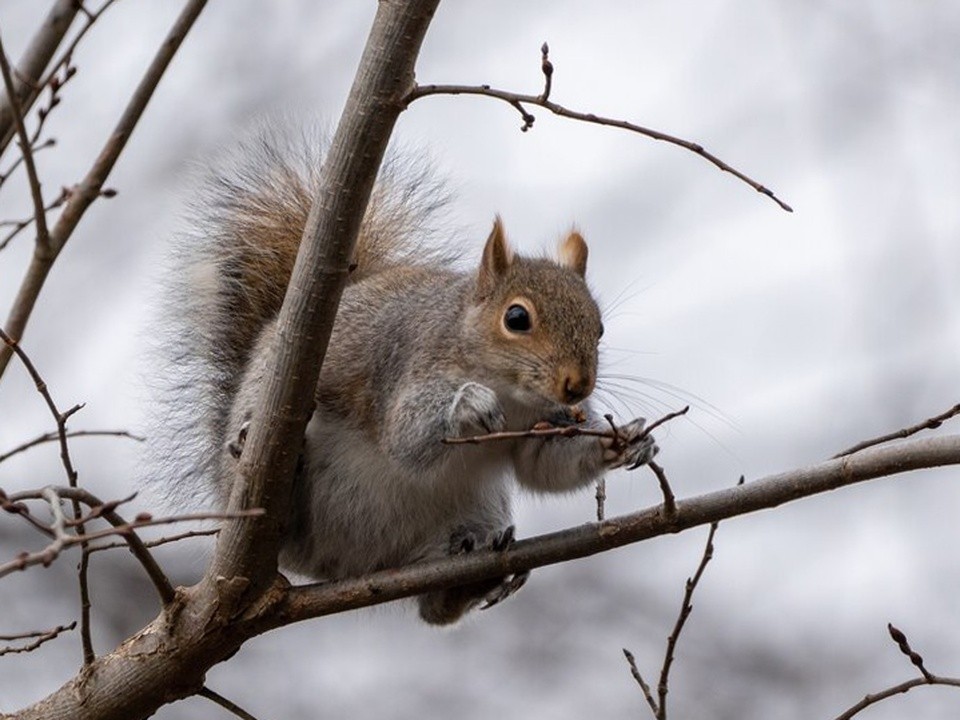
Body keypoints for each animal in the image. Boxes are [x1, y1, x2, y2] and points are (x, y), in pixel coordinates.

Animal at [158, 129, 656, 624]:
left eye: (599, 327)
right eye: (517, 318)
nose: (578, 386)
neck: (512, 394)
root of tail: (350, 566)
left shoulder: (544, 423)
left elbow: (545, 465)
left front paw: (626, 440)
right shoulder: (409, 366)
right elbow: (406, 438)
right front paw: (469, 404)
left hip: (476, 506)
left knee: (436, 609)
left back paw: (468, 577)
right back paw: (261, 452)